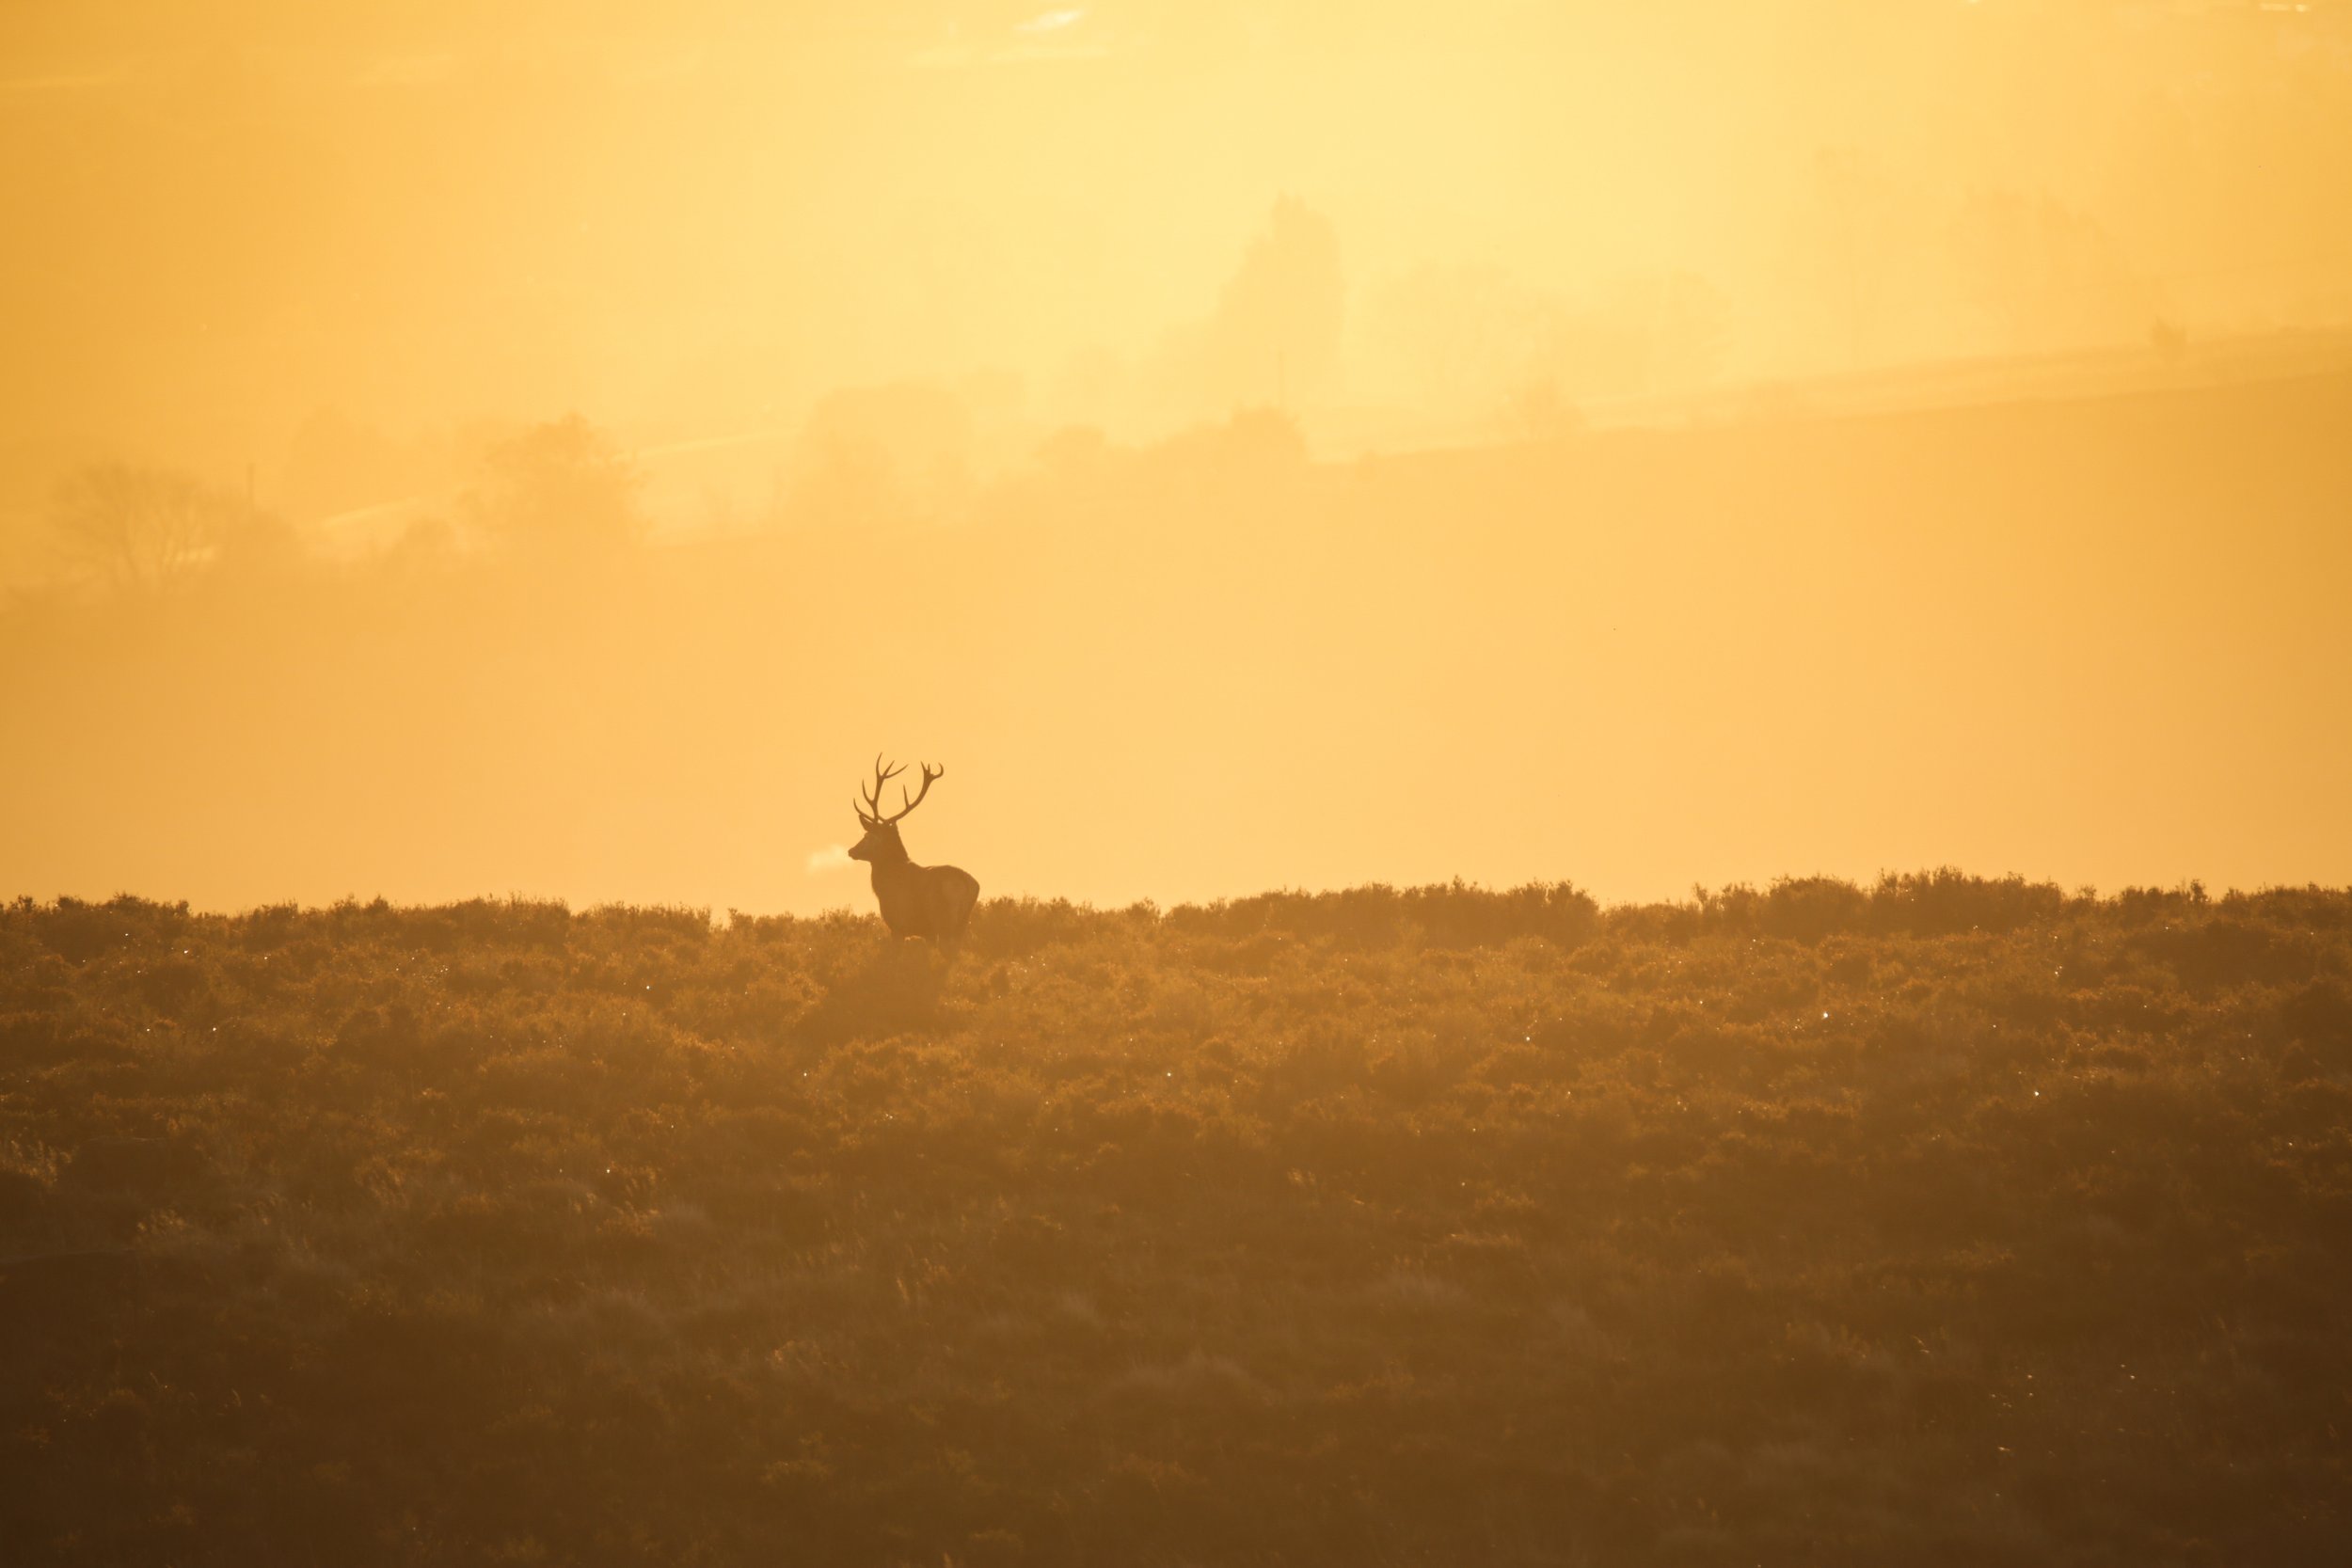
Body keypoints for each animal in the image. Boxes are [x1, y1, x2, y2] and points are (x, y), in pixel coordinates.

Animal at [848, 756, 981, 940]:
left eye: (868, 836)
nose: (851, 851)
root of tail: (969, 885)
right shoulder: (927, 934)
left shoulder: (898, 925)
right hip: (962, 924)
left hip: (944, 921)